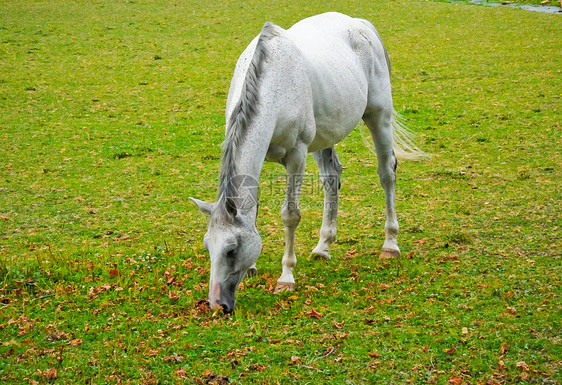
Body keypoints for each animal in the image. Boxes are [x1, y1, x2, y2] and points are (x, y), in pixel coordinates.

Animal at [190, 12, 418, 312]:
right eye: (208, 247)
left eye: (231, 249)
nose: (218, 305)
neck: (274, 82)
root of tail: (360, 23)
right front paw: (252, 268)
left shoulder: (297, 156)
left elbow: (291, 215)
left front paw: (286, 277)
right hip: (323, 136)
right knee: (332, 179)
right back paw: (323, 247)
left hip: (379, 116)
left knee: (386, 174)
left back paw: (390, 244)